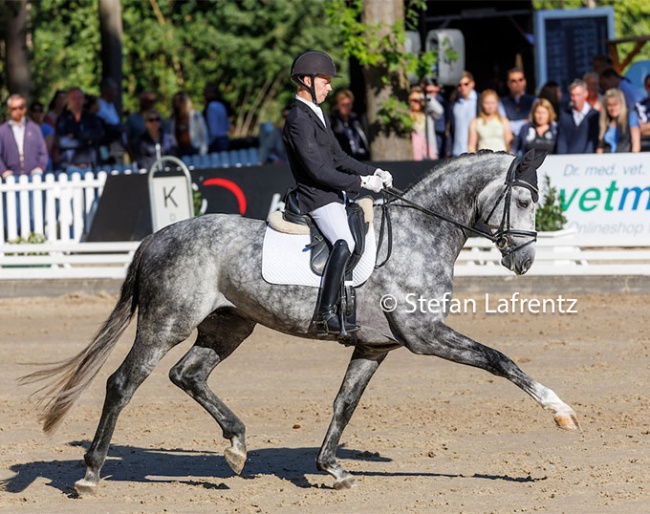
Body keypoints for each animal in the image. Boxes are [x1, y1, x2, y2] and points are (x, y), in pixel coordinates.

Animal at [21, 149, 576, 492]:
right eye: (523, 200)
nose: (525, 261)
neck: (421, 232)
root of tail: (157, 237)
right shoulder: (425, 336)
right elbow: (500, 360)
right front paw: (560, 411)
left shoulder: (374, 347)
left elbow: (344, 403)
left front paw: (332, 468)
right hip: (165, 324)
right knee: (123, 382)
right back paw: (91, 474)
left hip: (229, 325)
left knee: (188, 374)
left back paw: (237, 446)